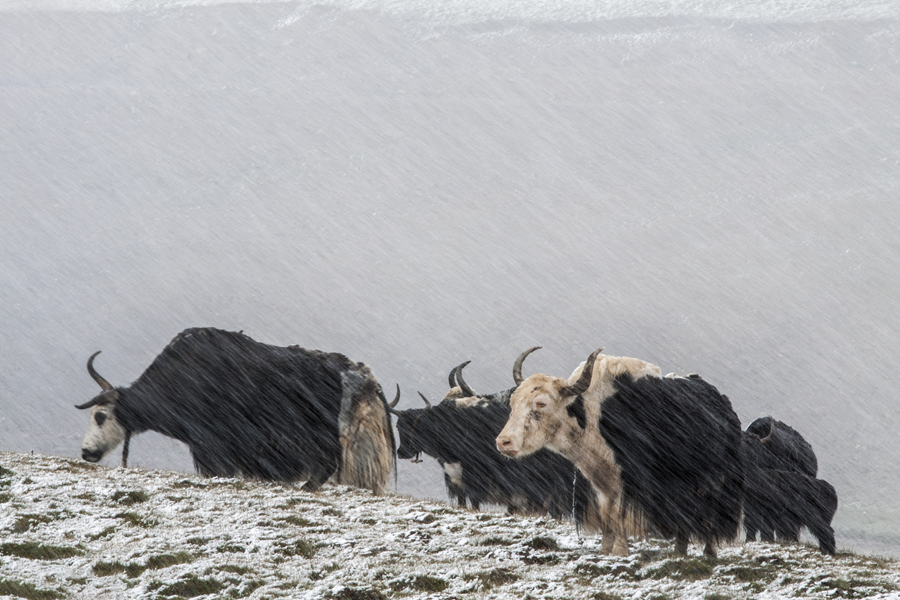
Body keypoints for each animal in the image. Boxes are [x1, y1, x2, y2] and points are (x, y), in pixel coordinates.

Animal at [75, 327, 396, 494]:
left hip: (325, 436)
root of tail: (361, 375)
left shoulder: (210, 444)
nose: (86, 452)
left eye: (100, 415)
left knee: (327, 464)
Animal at [496, 347, 744, 558]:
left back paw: (709, 553)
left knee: (709, 513)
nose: (503, 442)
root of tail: (724, 403)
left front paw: (620, 552)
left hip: (715, 481)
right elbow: (607, 515)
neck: (592, 417)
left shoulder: (628, 481)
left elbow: (618, 515)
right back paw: (679, 553)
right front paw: (605, 549)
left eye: (541, 403)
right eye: (513, 401)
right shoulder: (601, 482)